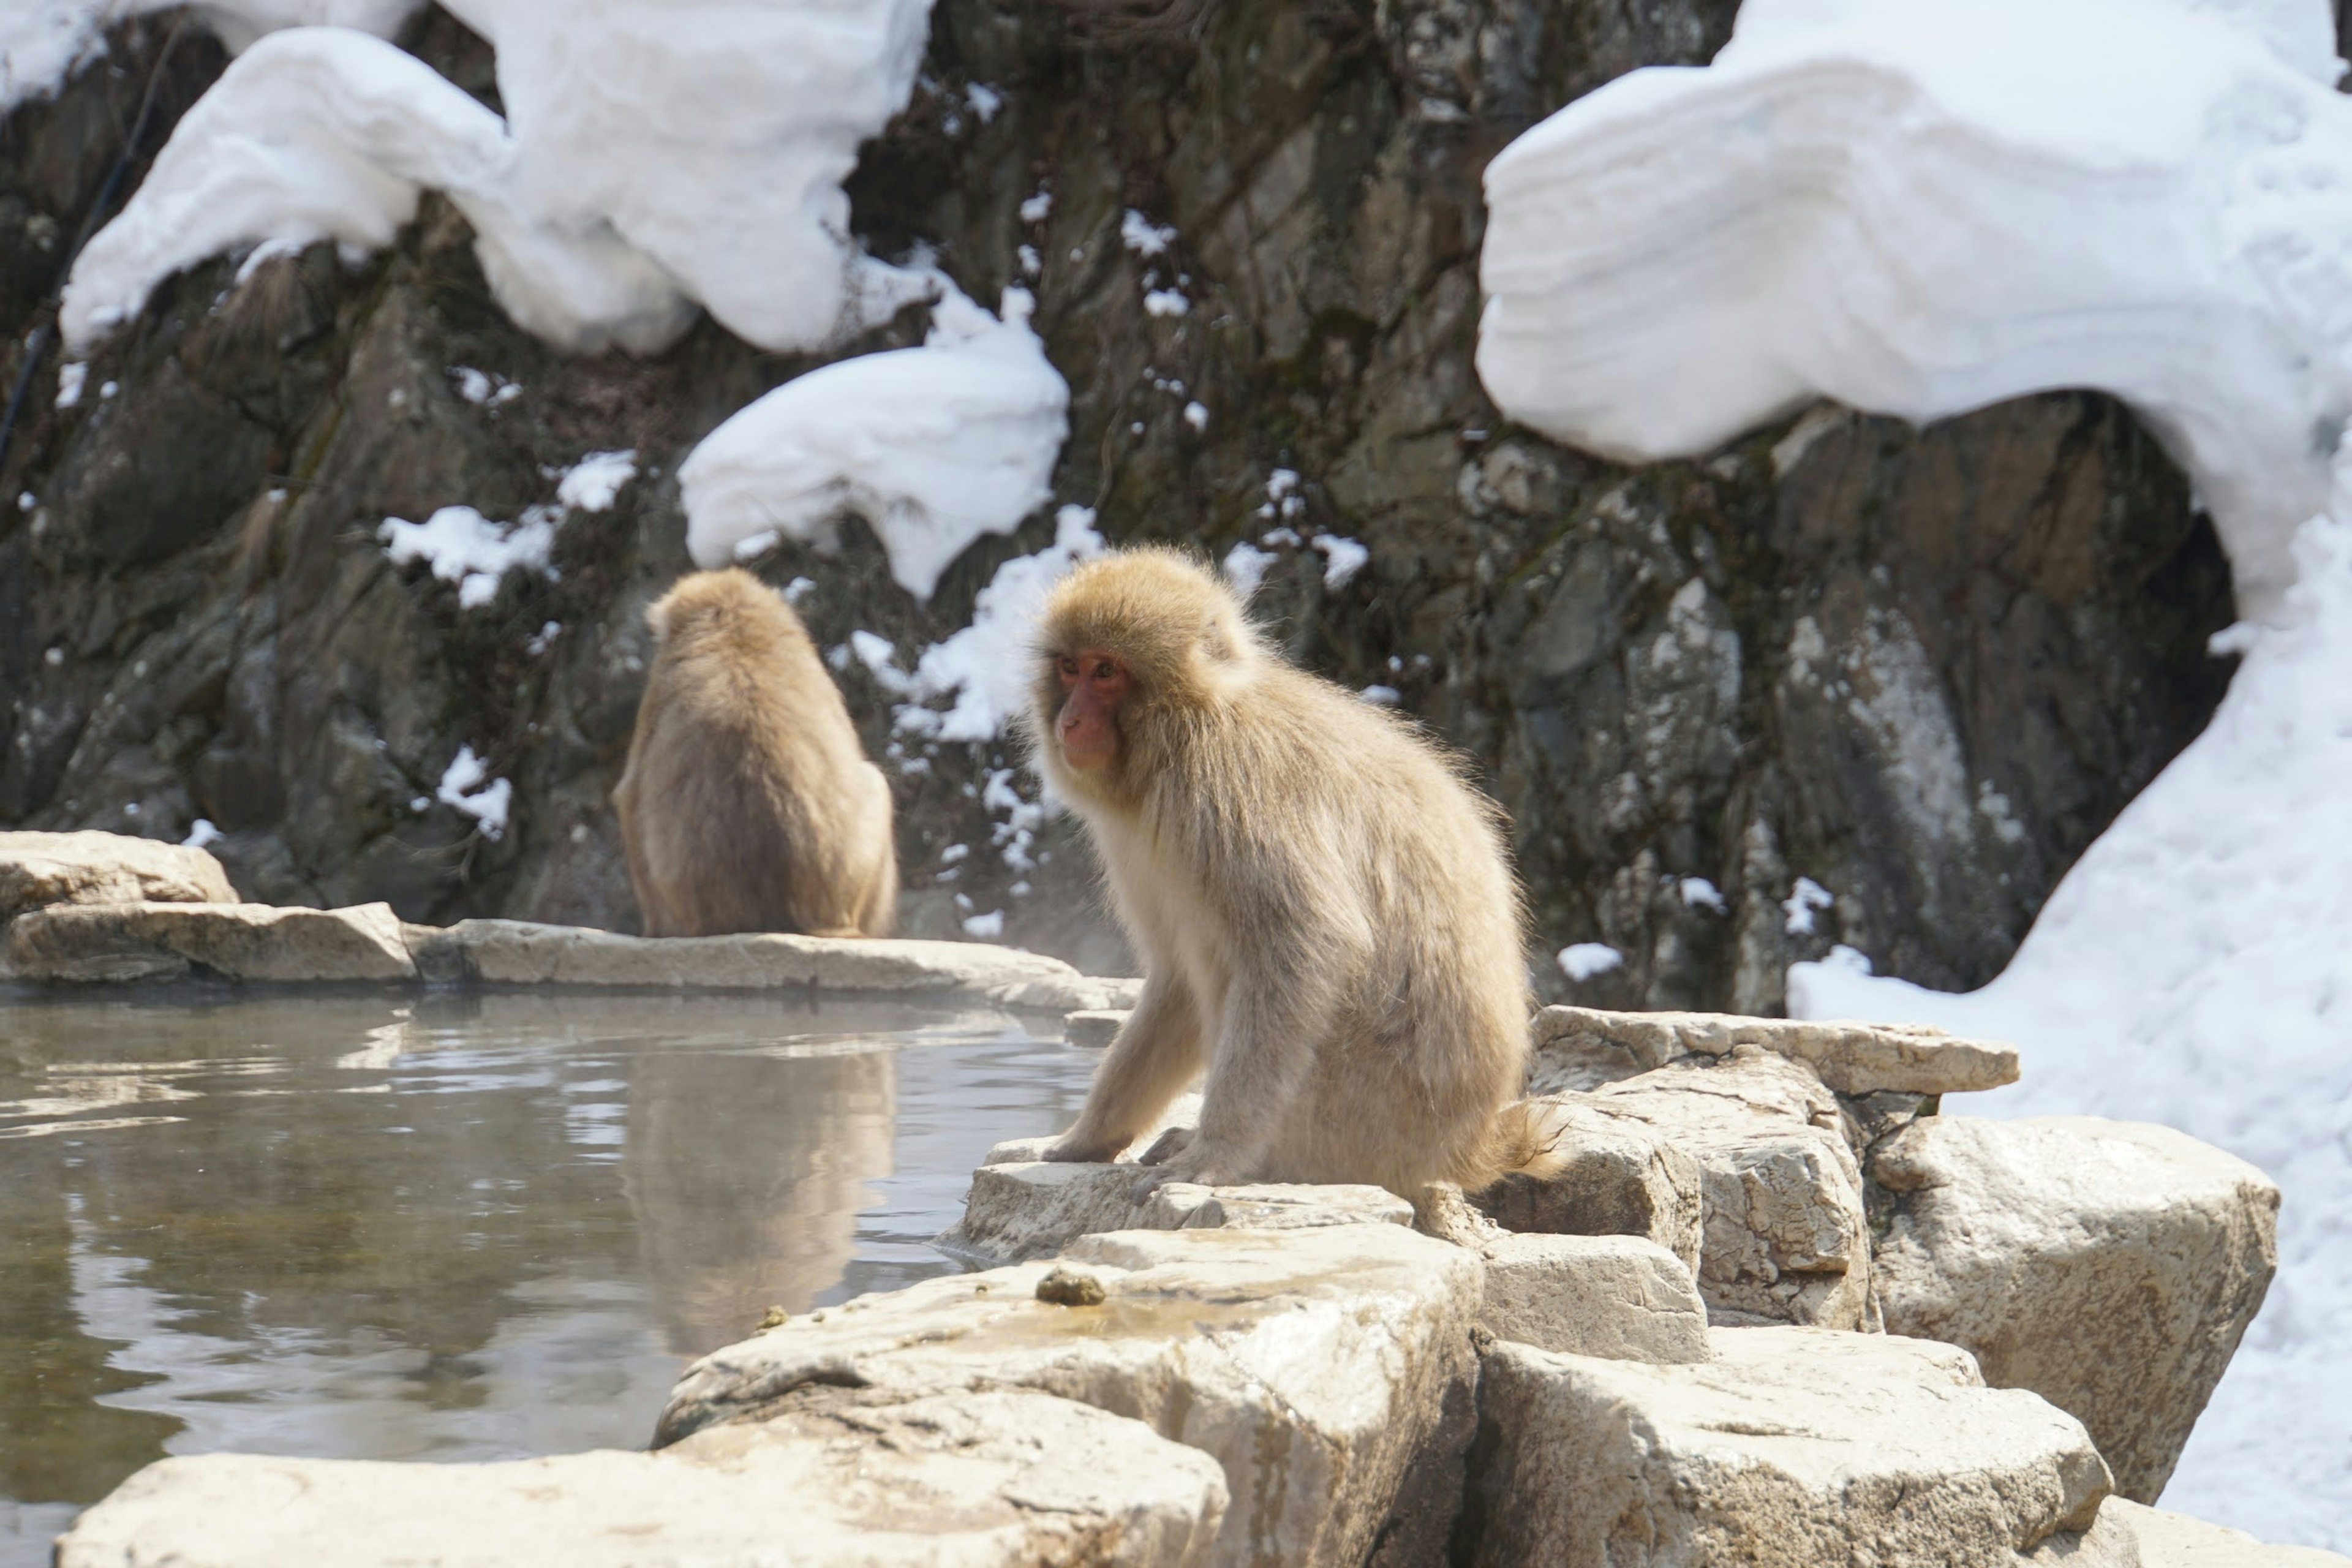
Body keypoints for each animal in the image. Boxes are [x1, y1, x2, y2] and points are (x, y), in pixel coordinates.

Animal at [611, 571, 894, 940]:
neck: (732, 626)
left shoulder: (658, 685)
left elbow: (628, 797)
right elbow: (629, 797)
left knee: (877, 783)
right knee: (876, 781)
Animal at [1035, 545, 1561, 1194]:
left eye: (1106, 672)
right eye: (1069, 668)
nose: (1071, 721)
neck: (1189, 726)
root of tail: (1470, 1148)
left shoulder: (1227, 792)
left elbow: (1302, 945)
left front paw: (1217, 1152)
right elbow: (1177, 981)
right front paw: (1093, 1135)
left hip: (1363, 1113)